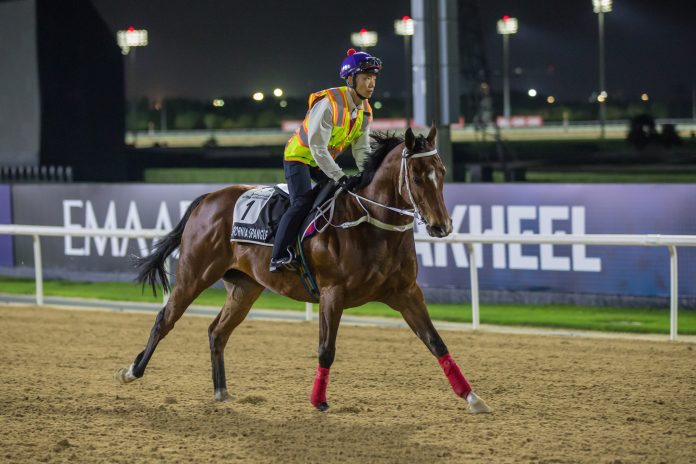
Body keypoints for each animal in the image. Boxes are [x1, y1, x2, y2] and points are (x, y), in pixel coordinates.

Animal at [115, 126, 490, 414]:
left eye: (441, 172)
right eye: (416, 176)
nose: (442, 227)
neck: (370, 225)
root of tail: (207, 198)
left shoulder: (406, 292)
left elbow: (436, 342)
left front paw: (472, 397)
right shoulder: (332, 293)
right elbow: (326, 348)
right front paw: (318, 400)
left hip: (245, 287)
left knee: (217, 332)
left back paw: (221, 391)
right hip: (195, 273)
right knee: (165, 319)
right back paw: (132, 371)